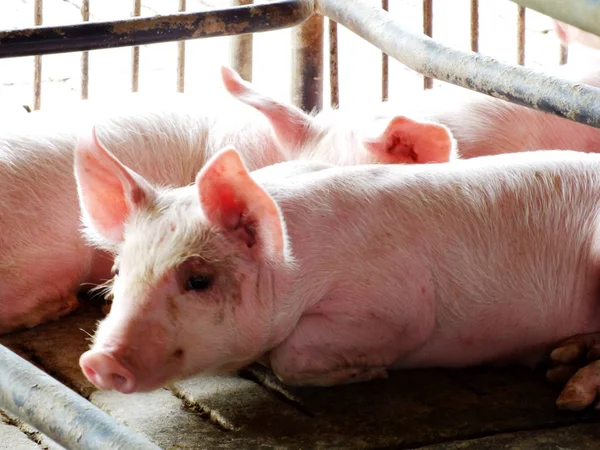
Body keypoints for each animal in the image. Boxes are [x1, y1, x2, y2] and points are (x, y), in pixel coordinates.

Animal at [76, 137, 600, 394]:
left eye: (198, 280)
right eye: (119, 273)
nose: (98, 361)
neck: (295, 267)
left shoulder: (397, 310)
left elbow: (289, 357)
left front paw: (369, 374)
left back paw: (567, 388)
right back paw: (560, 363)